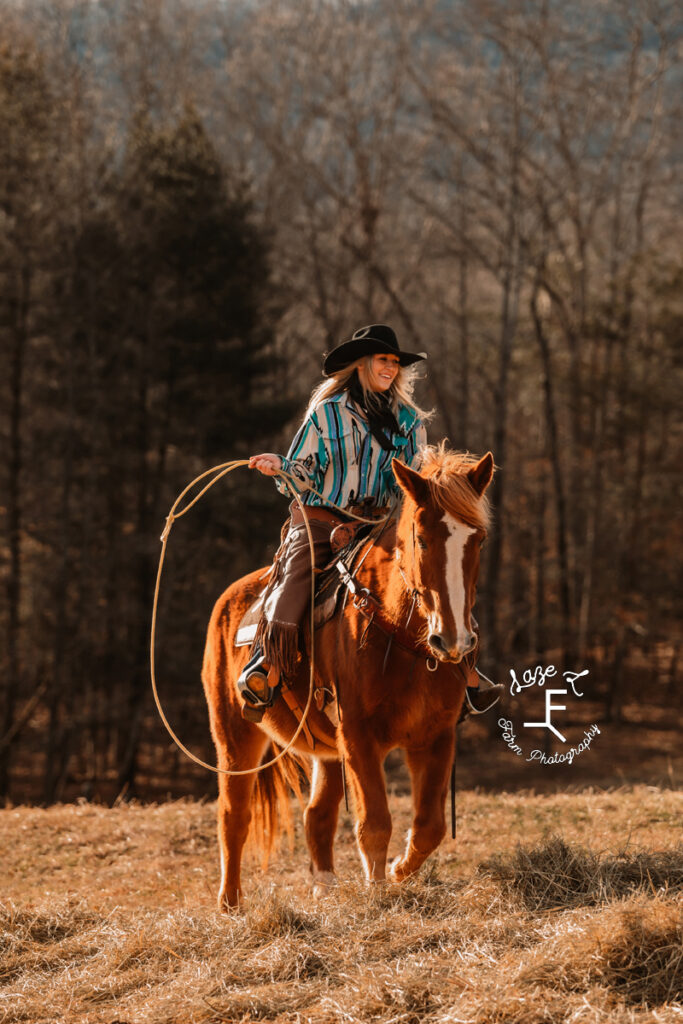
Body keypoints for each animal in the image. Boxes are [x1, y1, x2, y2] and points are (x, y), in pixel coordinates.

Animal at [200, 444, 493, 909]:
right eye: (421, 538)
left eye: (478, 539)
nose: (453, 640)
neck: (401, 636)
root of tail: (229, 598)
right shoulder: (358, 735)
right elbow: (374, 822)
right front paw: (378, 890)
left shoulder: (436, 736)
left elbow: (429, 827)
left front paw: (397, 872)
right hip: (234, 735)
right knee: (234, 816)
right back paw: (230, 905)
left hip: (326, 749)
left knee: (317, 815)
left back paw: (324, 890)